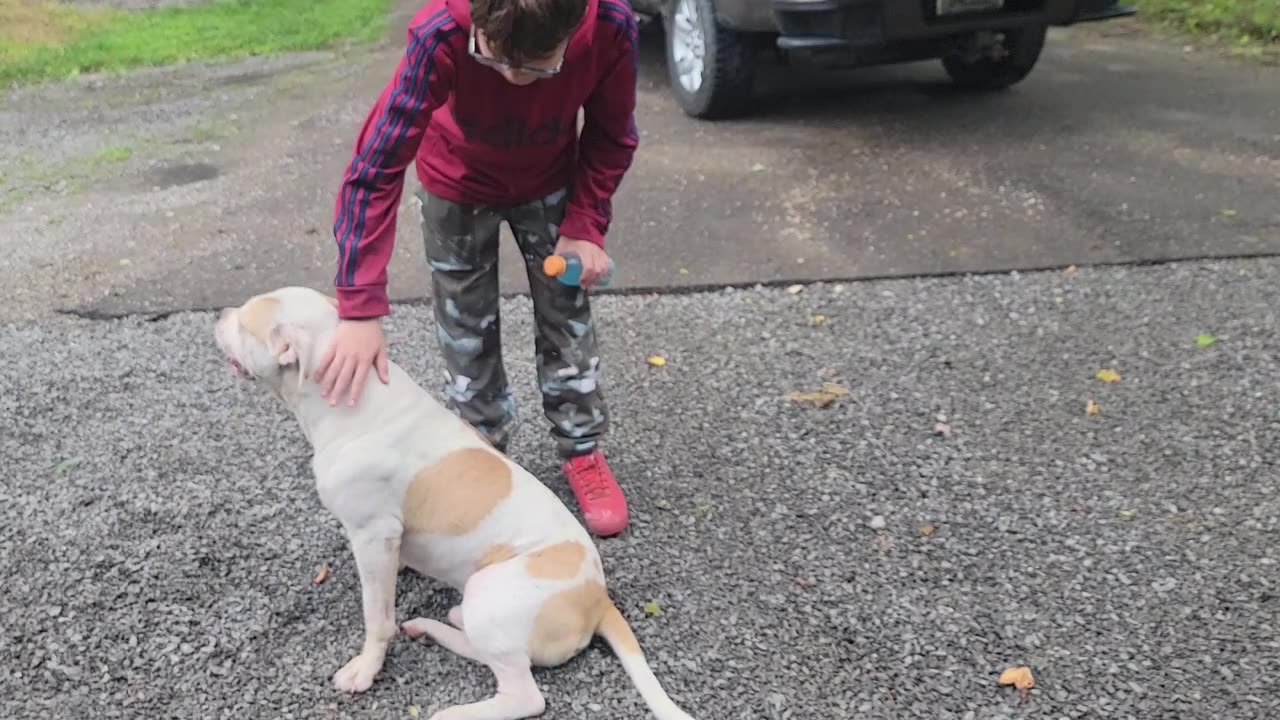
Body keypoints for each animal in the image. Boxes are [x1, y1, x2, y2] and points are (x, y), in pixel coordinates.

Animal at [217, 285, 701, 717]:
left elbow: (377, 617)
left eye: (244, 322)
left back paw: (451, 710)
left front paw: (365, 669)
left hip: (491, 593)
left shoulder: (373, 536)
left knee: (525, 696)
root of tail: (599, 598)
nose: (220, 313)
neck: (348, 402)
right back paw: (434, 625)